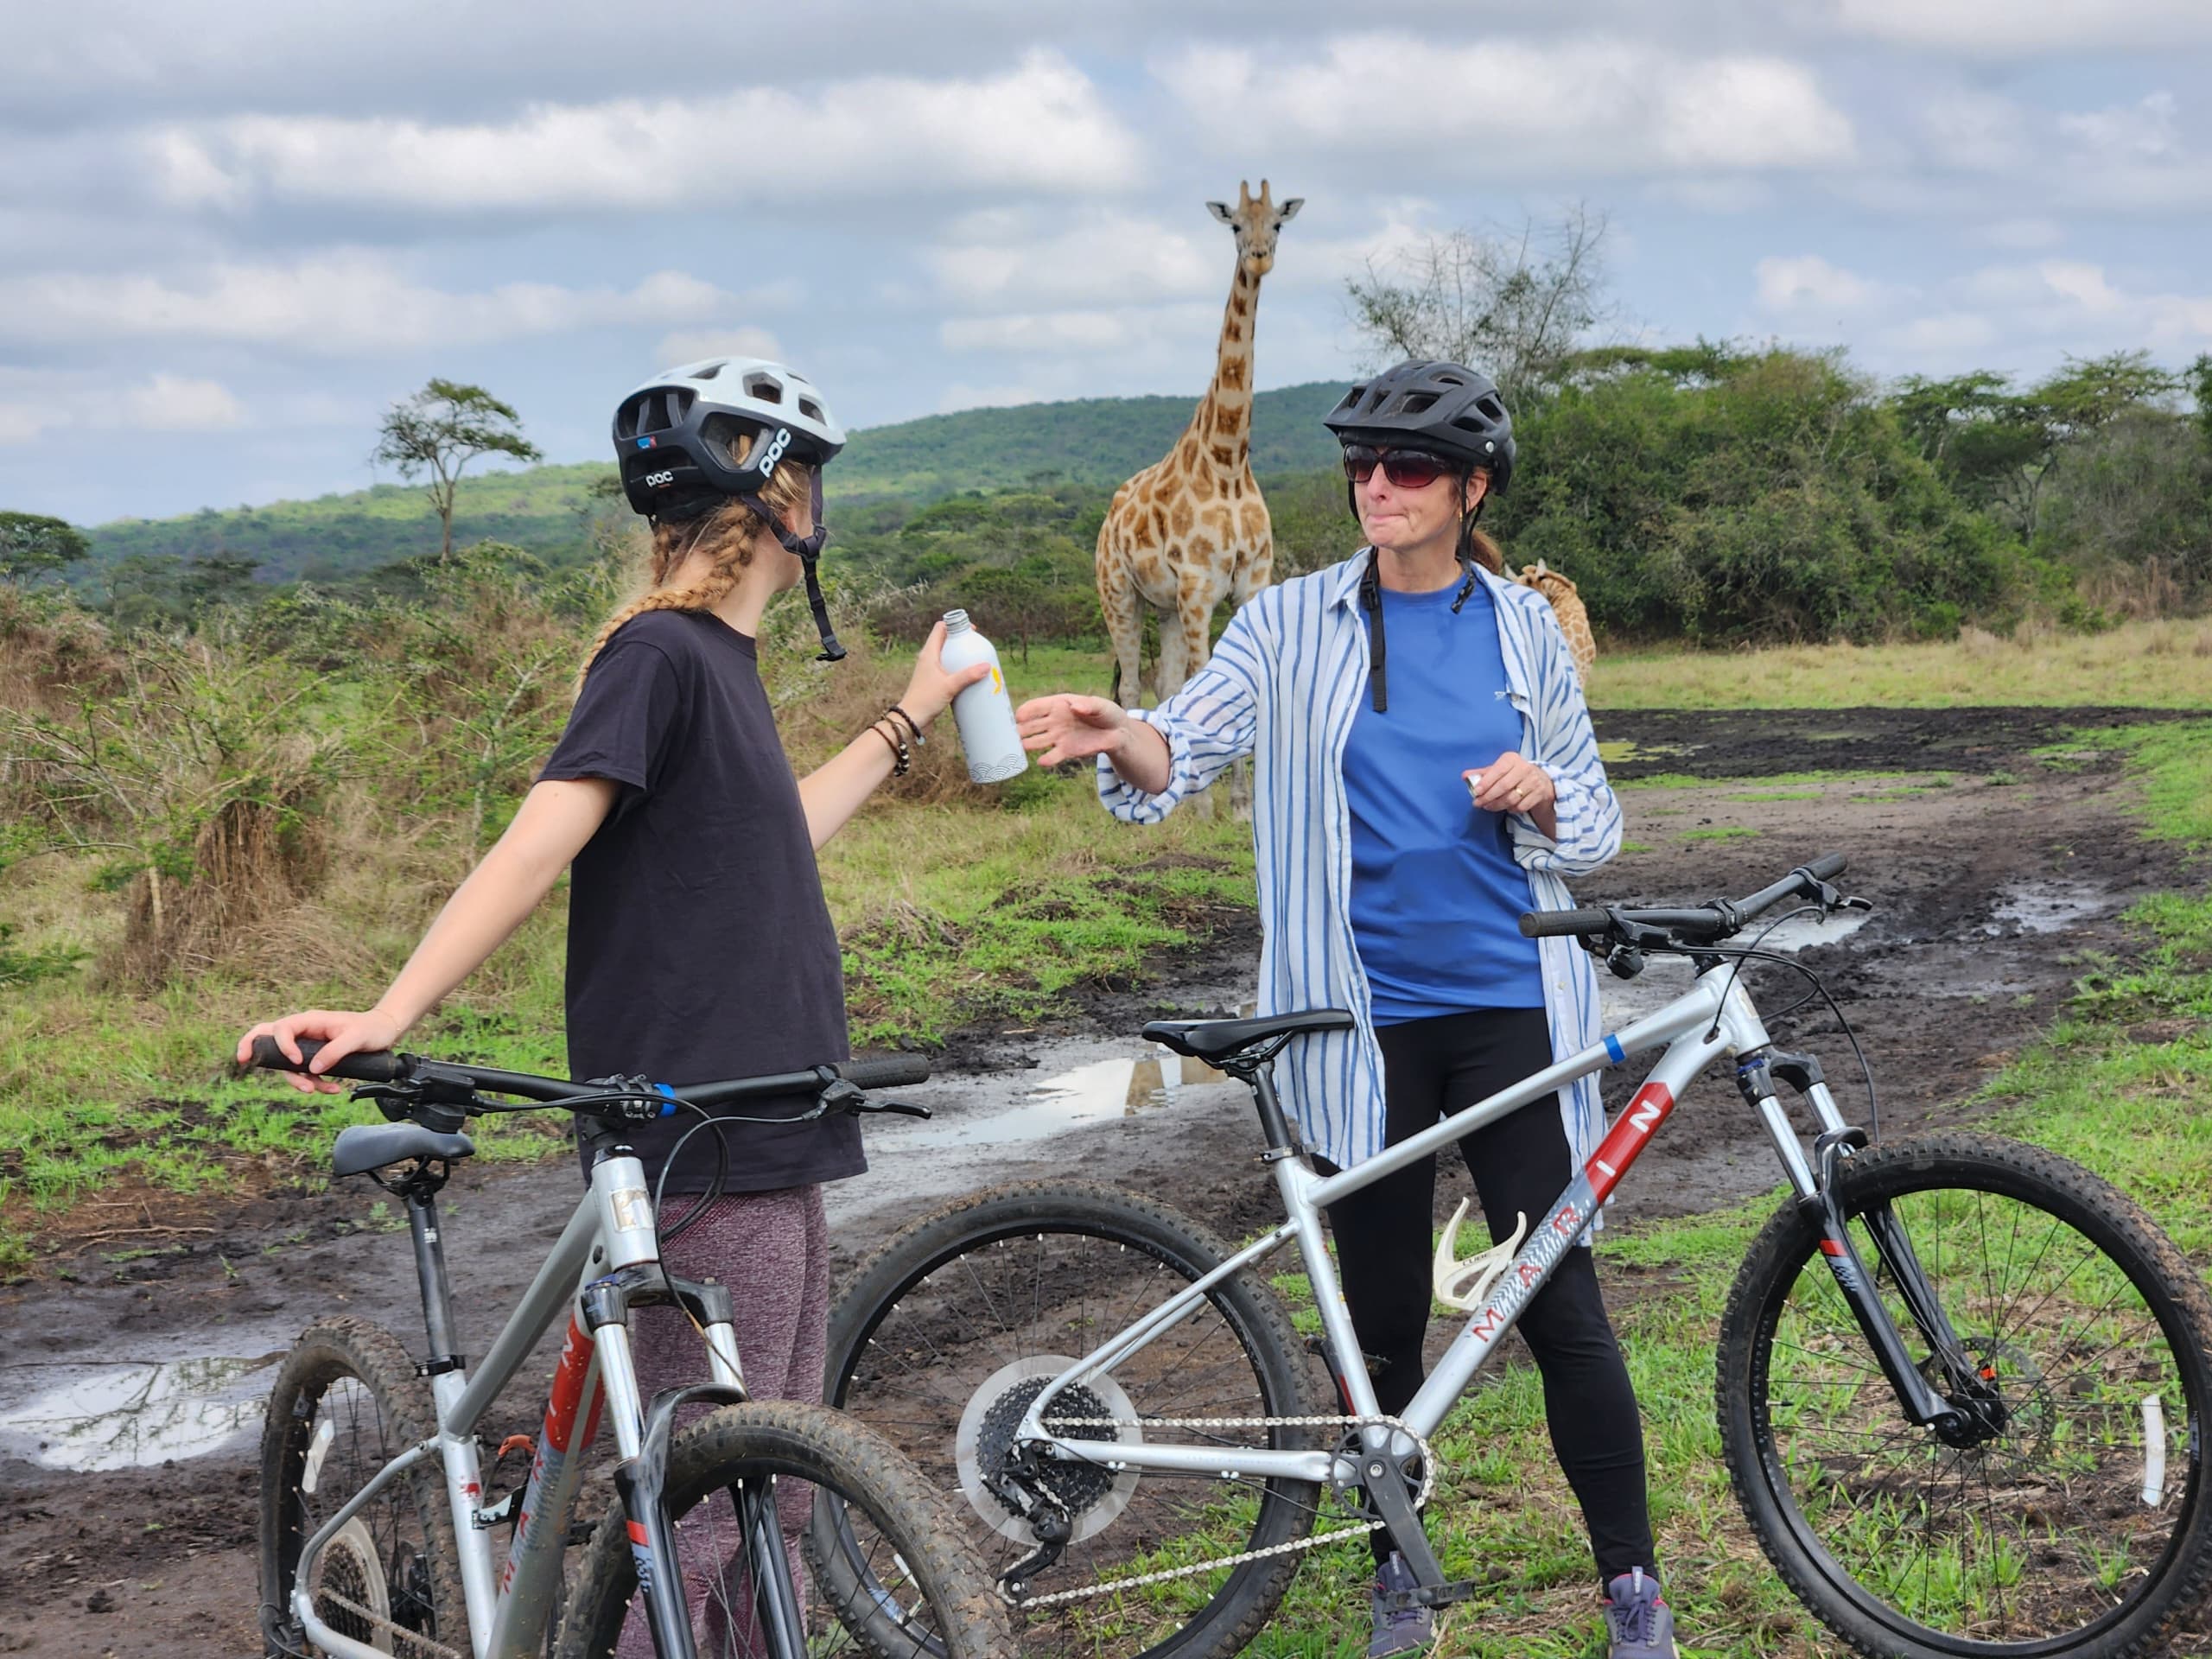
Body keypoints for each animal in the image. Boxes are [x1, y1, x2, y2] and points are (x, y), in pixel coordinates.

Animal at [1101, 180, 1300, 716]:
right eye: (1235, 225)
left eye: (1277, 223)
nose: (1259, 258)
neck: (1227, 460)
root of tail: (1109, 517)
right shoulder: (1197, 587)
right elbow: (1204, 680)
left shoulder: (1250, 583)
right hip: (1118, 594)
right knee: (1132, 687)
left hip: (1164, 605)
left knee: (1166, 684)